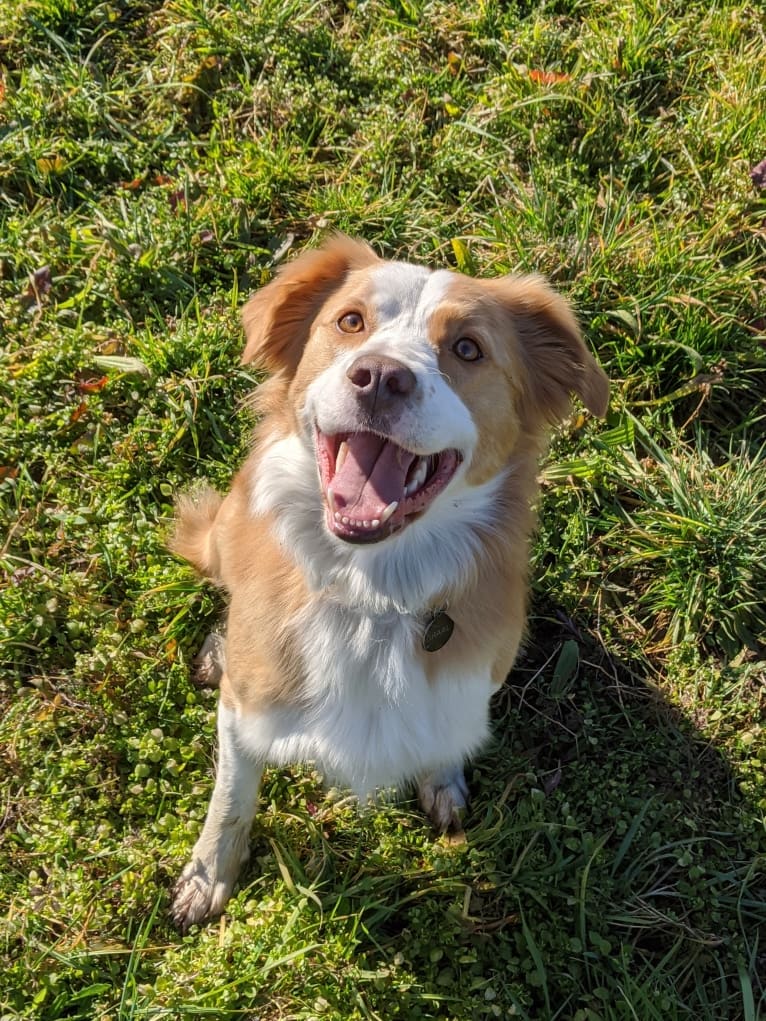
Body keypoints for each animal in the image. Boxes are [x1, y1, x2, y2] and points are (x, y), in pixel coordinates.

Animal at [169, 234, 612, 931]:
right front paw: (209, 873)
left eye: (467, 349)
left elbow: (444, 734)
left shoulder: (470, 677)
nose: (379, 376)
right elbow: (232, 795)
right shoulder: (245, 712)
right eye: (350, 322)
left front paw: (443, 778)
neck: (373, 594)